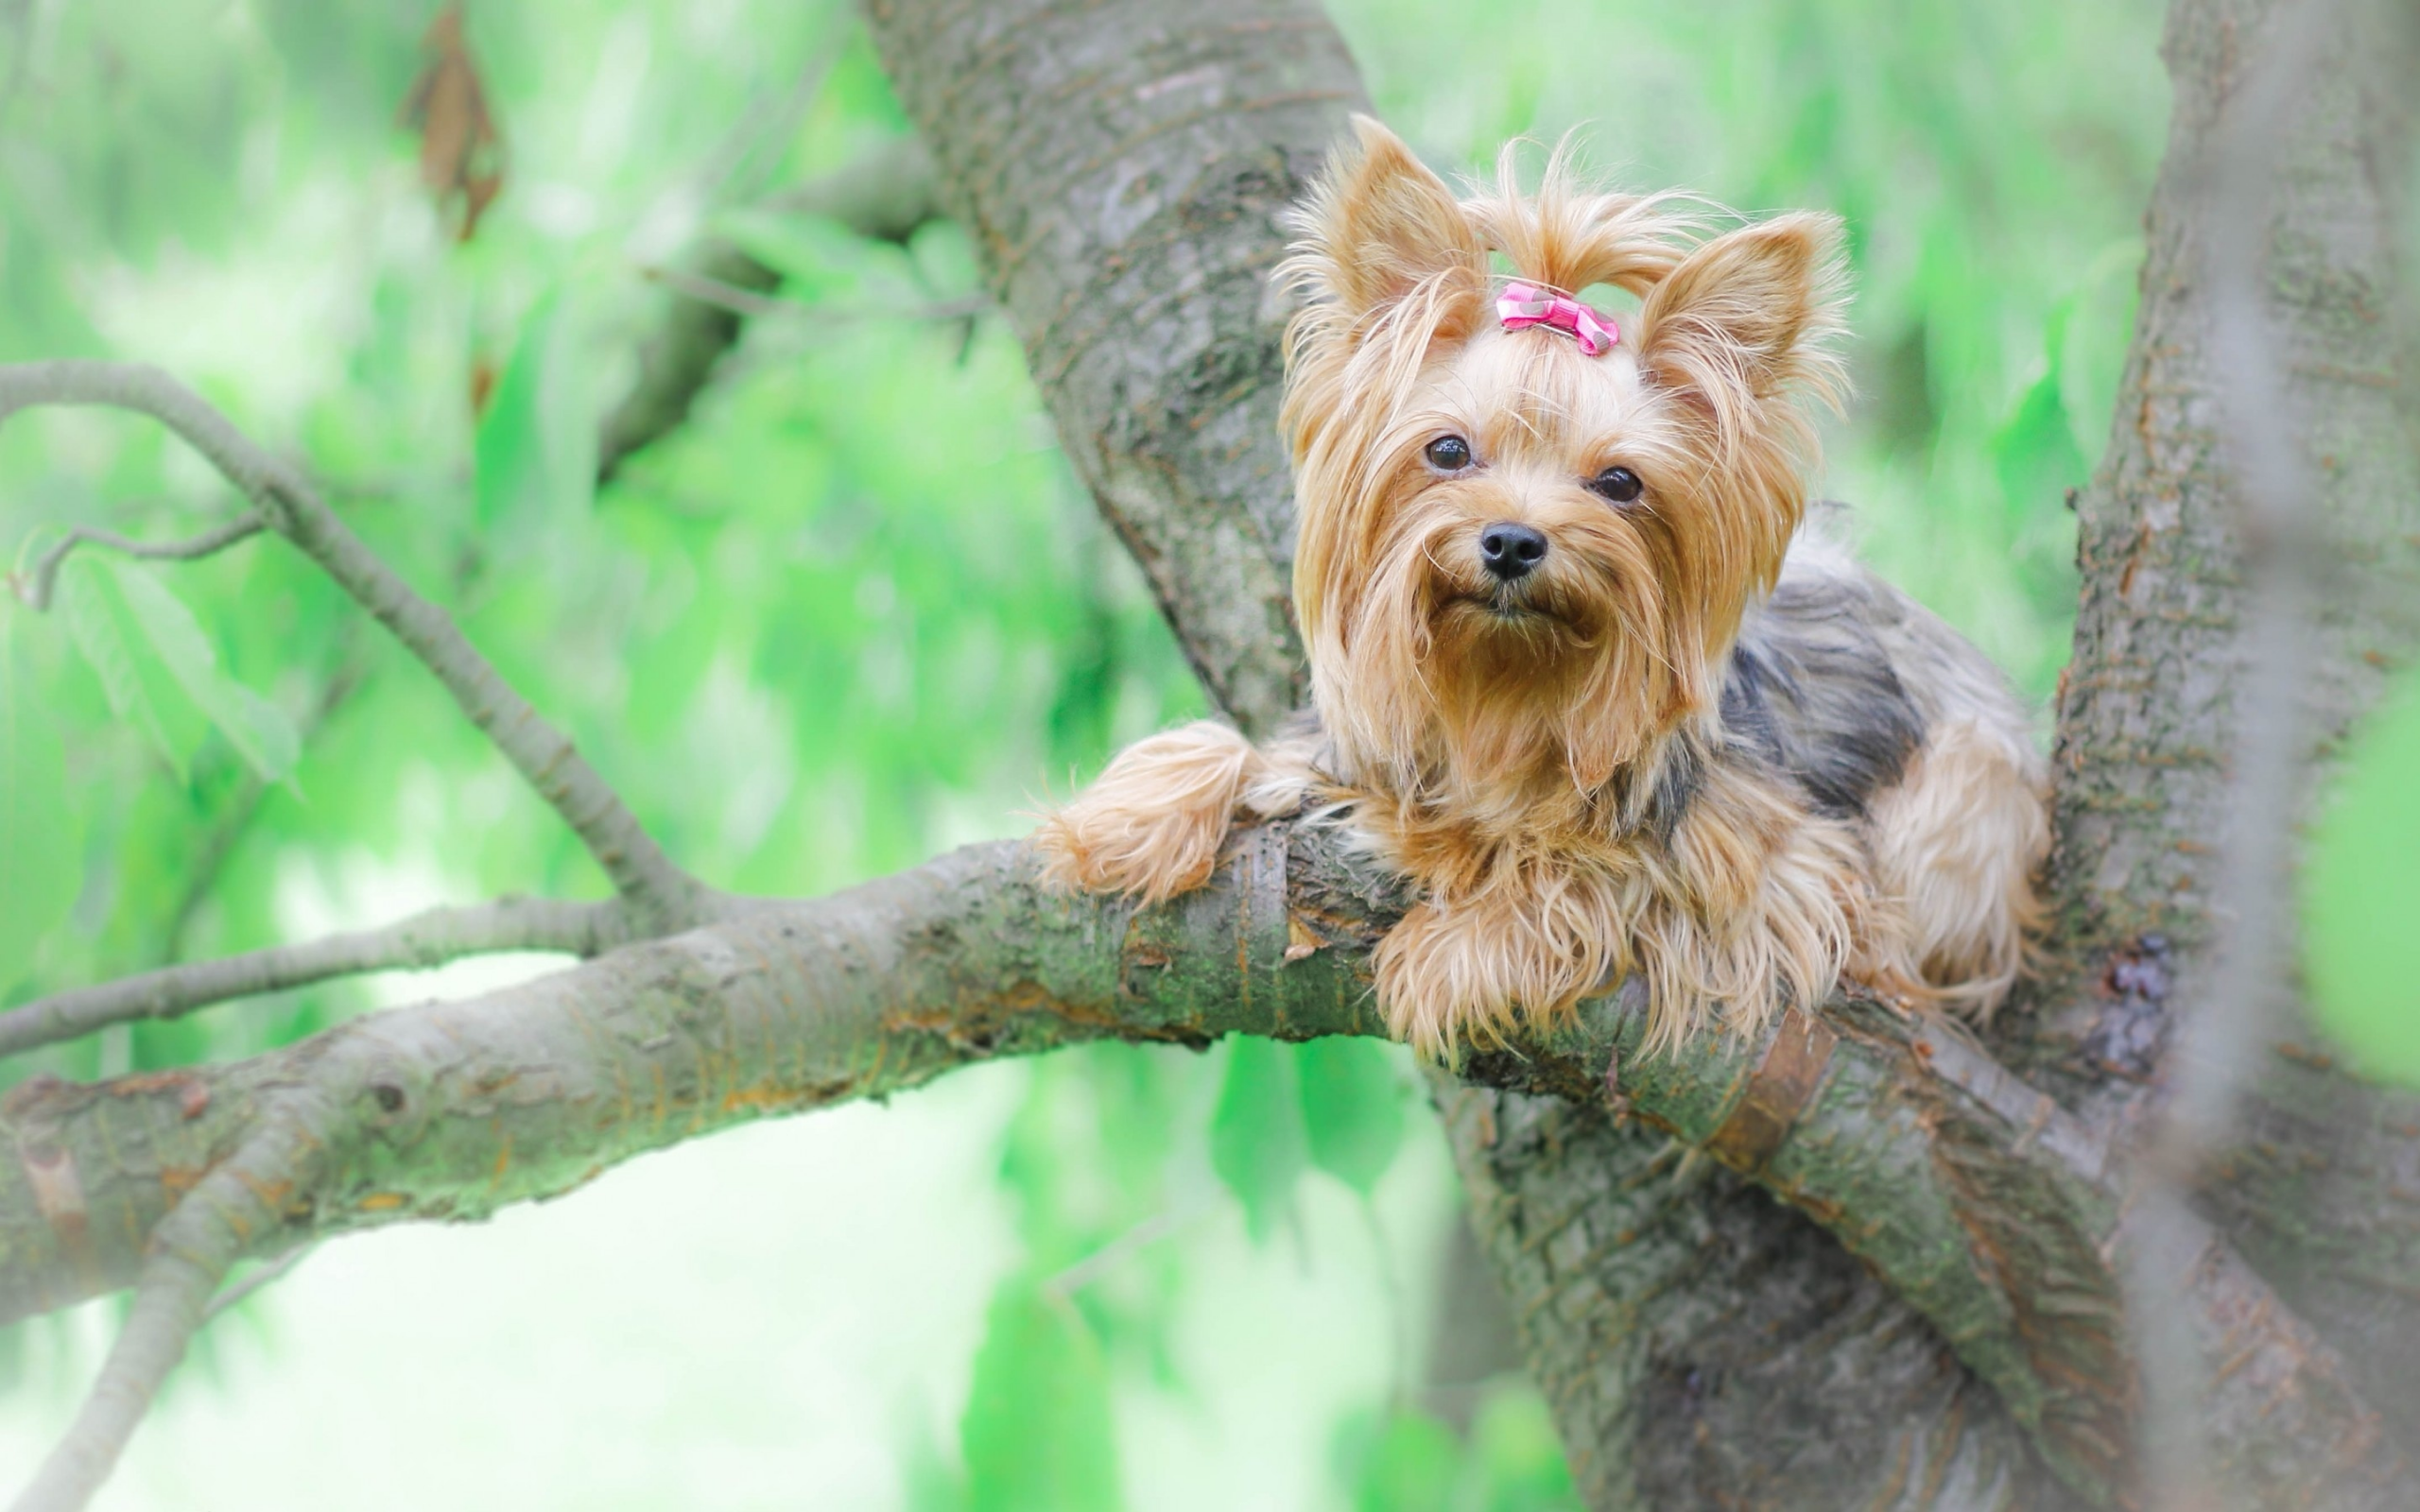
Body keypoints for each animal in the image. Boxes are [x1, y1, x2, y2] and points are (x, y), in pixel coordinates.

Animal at [1030, 117, 2051, 1055]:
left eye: (1620, 483)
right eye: (1447, 451)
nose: (1514, 541)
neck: (1504, 690)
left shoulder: (1784, 873)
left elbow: (1607, 873)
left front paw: (1460, 949)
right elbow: (1248, 753)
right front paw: (1129, 816)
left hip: (1970, 793)